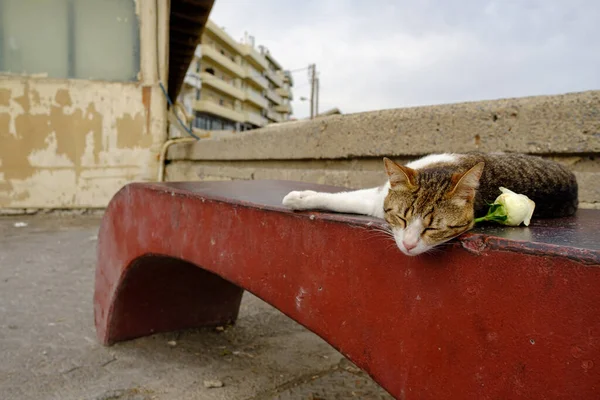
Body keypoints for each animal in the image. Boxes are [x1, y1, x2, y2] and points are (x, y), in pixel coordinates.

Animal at [282, 153, 576, 256]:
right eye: (401, 219)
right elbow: (347, 198)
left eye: (433, 229)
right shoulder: (381, 199)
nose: (409, 245)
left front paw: (300, 197)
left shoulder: (378, 200)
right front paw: (301, 196)